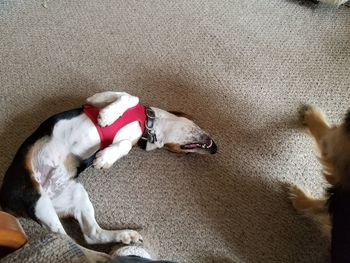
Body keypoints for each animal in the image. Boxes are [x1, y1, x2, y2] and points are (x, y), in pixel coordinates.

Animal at [0, 93, 217, 250]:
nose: (216, 148)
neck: (147, 123)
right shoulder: (96, 97)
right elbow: (130, 97)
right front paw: (106, 118)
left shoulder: (127, 140)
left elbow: (124, 146)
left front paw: (105, 158)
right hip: (35, 197)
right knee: (65, 239)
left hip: (72, 195)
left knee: (91, 235)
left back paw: (124, 235)